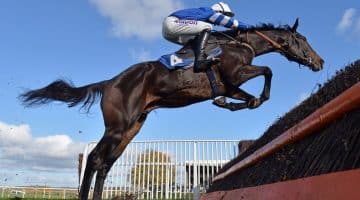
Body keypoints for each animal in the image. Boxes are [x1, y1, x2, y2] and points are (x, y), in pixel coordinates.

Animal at [19, 19, 324, 200]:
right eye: (303, 40)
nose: (320, 61)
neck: (240, 44)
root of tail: (109, 82)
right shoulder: (235, 73)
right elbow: (268, 70)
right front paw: (252, 99)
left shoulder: (229, 85)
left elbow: (245, 95)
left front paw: (241, 103)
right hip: (118, 126)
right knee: (94, 159)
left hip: (132, 128)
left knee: (105, 163)